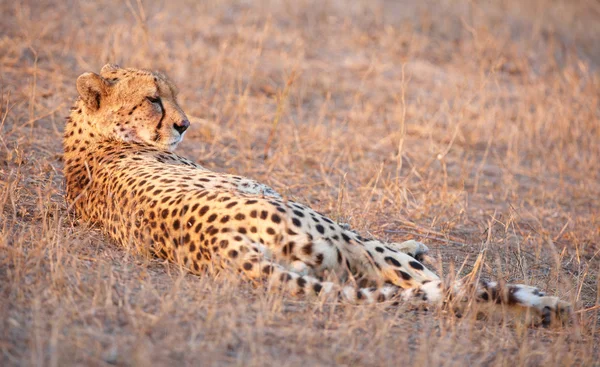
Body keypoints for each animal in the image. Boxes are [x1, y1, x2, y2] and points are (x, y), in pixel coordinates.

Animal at [63, 64, 568, 326]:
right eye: (153, 99)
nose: (185, 125)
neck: (96, 135)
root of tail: (221, 245)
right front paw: (412, 244)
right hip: (320, 227)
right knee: (432, 285)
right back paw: (542, 304)